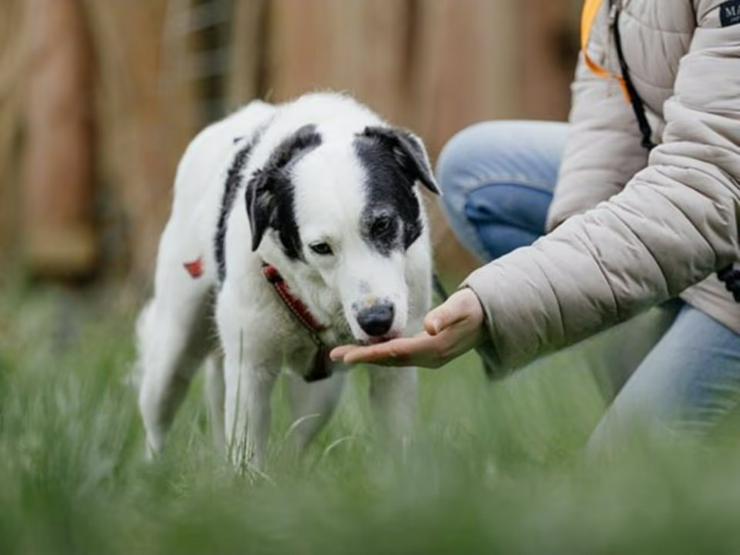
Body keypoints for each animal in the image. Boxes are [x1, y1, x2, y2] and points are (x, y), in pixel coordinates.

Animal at [137, 93, 440, 466]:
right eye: (320, 247)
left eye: (382, 224)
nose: (376, 320)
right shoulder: (249, 366)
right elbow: (246, 452)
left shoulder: (395, 365)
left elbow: (399, 437)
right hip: (174, 345)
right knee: (159, 411)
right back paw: (153, 468)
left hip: (320, 393)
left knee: (298, 434)